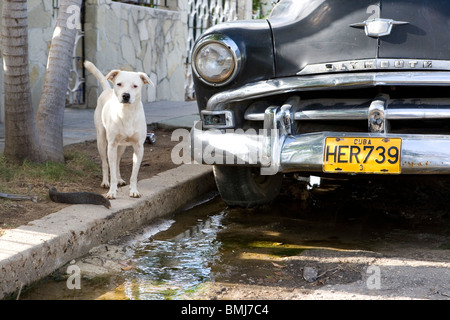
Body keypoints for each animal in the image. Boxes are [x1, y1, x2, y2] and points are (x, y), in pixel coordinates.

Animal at [83, 61, 154, 199]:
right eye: (119, 84)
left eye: (135, 86)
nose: (125, 95)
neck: (126, 113)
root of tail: (107, 90)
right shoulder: (111, 145)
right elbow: (111, 170)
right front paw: (111, 191)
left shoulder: (139, 147)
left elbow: (134, 174)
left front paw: (134, 190)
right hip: (102, 141)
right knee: (106, 163)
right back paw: (105, 181)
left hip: (122, 147)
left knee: (117, 163)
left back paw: (120, 179)